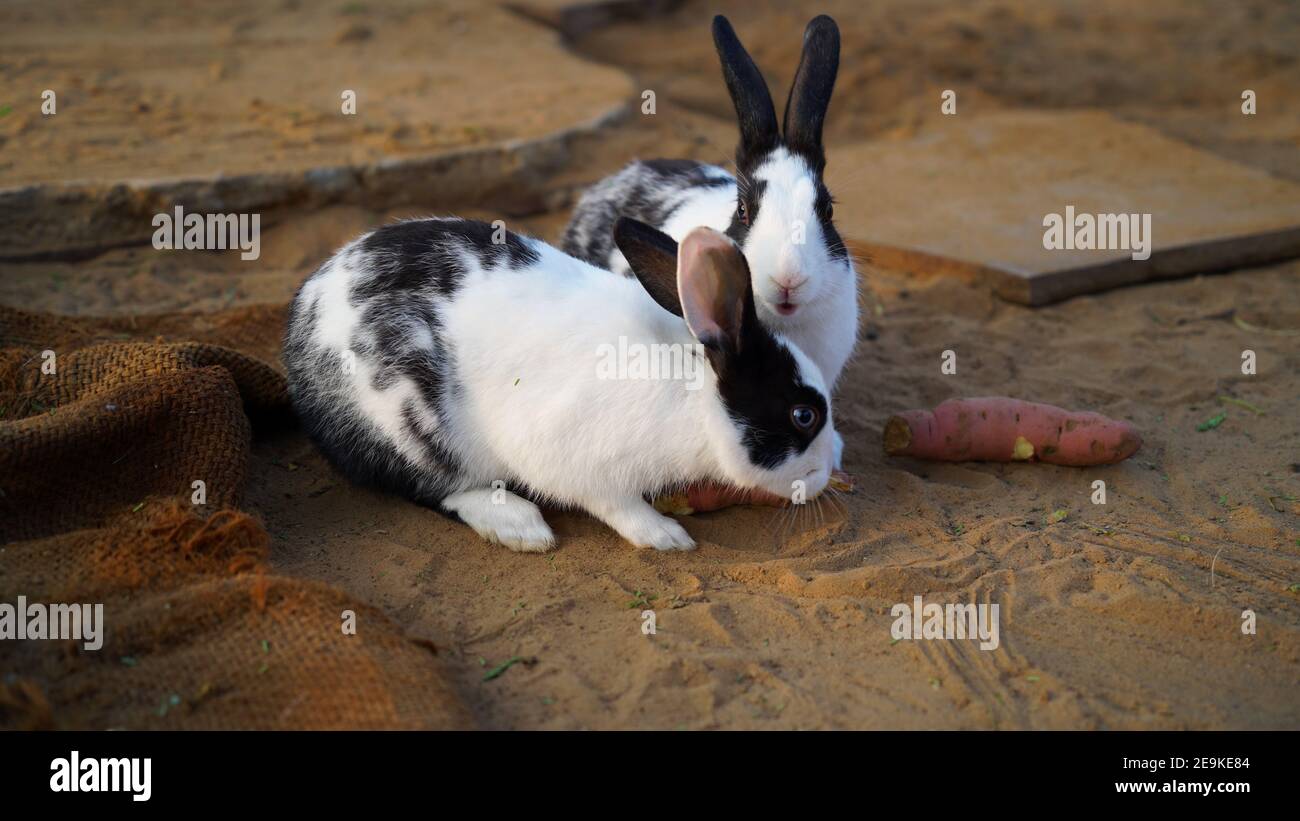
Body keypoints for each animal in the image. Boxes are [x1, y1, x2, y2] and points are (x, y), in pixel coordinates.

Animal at [279, 218, 837, 550]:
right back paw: (520, 526)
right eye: (803, 415)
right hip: (411, 428)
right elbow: (615, 504)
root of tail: (300, 327)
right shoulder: (579, 460)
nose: (831, 470)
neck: (695, 394)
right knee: (428, 489)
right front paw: (666, 536)